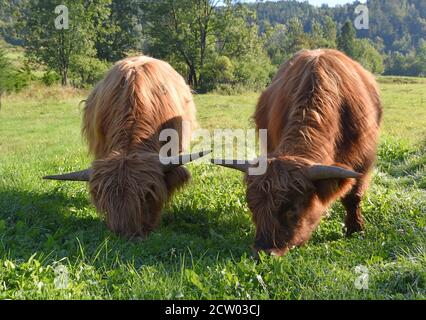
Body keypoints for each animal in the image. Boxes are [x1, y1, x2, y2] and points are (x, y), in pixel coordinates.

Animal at [216, 48, 382, 256]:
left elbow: (354, 196)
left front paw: (356, 228)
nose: (263, 251)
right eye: (252, 206)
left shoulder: (363, 161)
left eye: (292, 208)